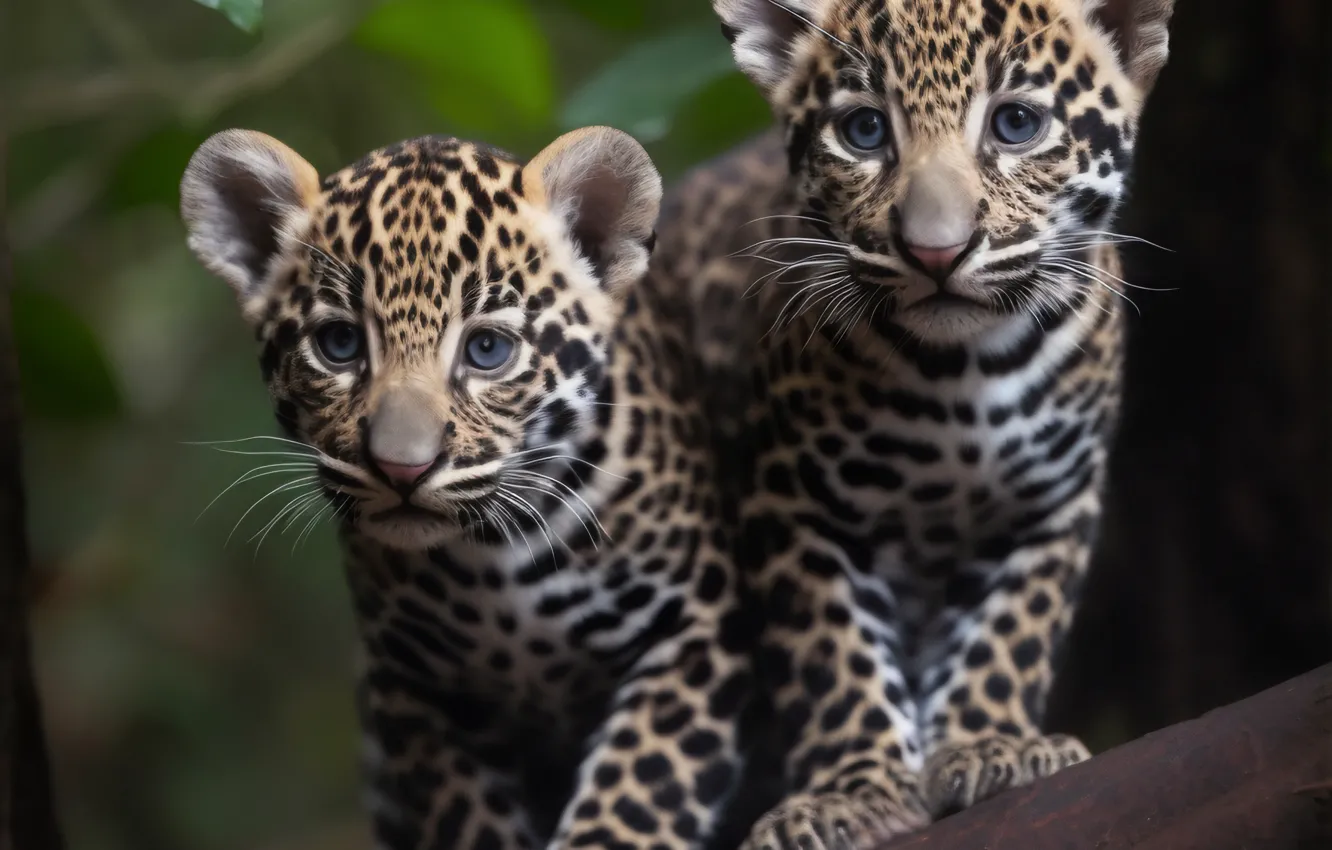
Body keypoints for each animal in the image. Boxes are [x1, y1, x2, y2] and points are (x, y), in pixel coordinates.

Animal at [180, 126, 757, 850]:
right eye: (339, 344)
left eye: (487, 350)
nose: (401, 469)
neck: (496, 562)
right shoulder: (416, 694)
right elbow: (469, 825)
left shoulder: (691, 633)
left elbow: (633, 804)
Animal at [648, 0, 1177, 847]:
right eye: (864, 131)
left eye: (1016, 124)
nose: (936, 252)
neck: (965, 377)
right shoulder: (793, 505)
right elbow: (831, 654)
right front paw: (852, 791)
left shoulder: (1051, 506)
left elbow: (1011, 629)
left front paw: (992, 744)